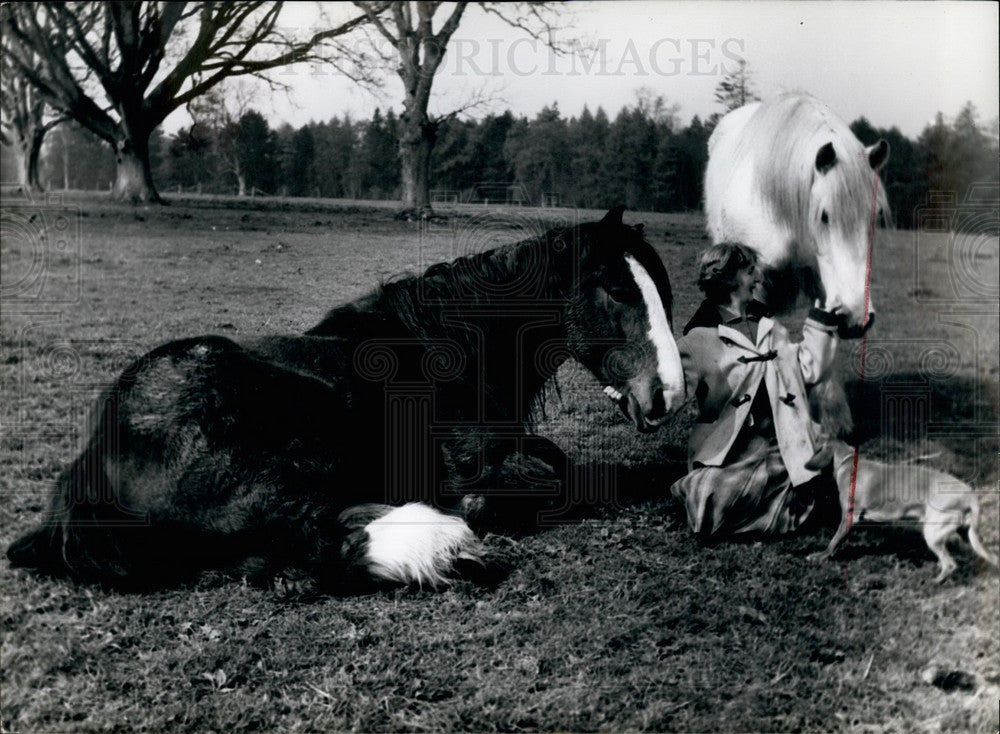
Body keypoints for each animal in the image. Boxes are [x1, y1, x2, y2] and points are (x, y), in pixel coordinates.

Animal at [7, 206, 684, 592]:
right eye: (616, 288)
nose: (667, 396)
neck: (449, 349)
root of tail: (90, 463)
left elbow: (558, 461)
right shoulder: (473, 473)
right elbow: (553, 484)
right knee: (303, 537)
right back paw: (434, 545)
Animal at [804, 440, 1000, 584]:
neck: (848, 462)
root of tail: (970, 495)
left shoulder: (849, 517)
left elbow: (834, 541)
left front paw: (821, 556)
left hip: (932, 533)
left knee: (950, 564)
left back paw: (934, 582)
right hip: (965, 534)